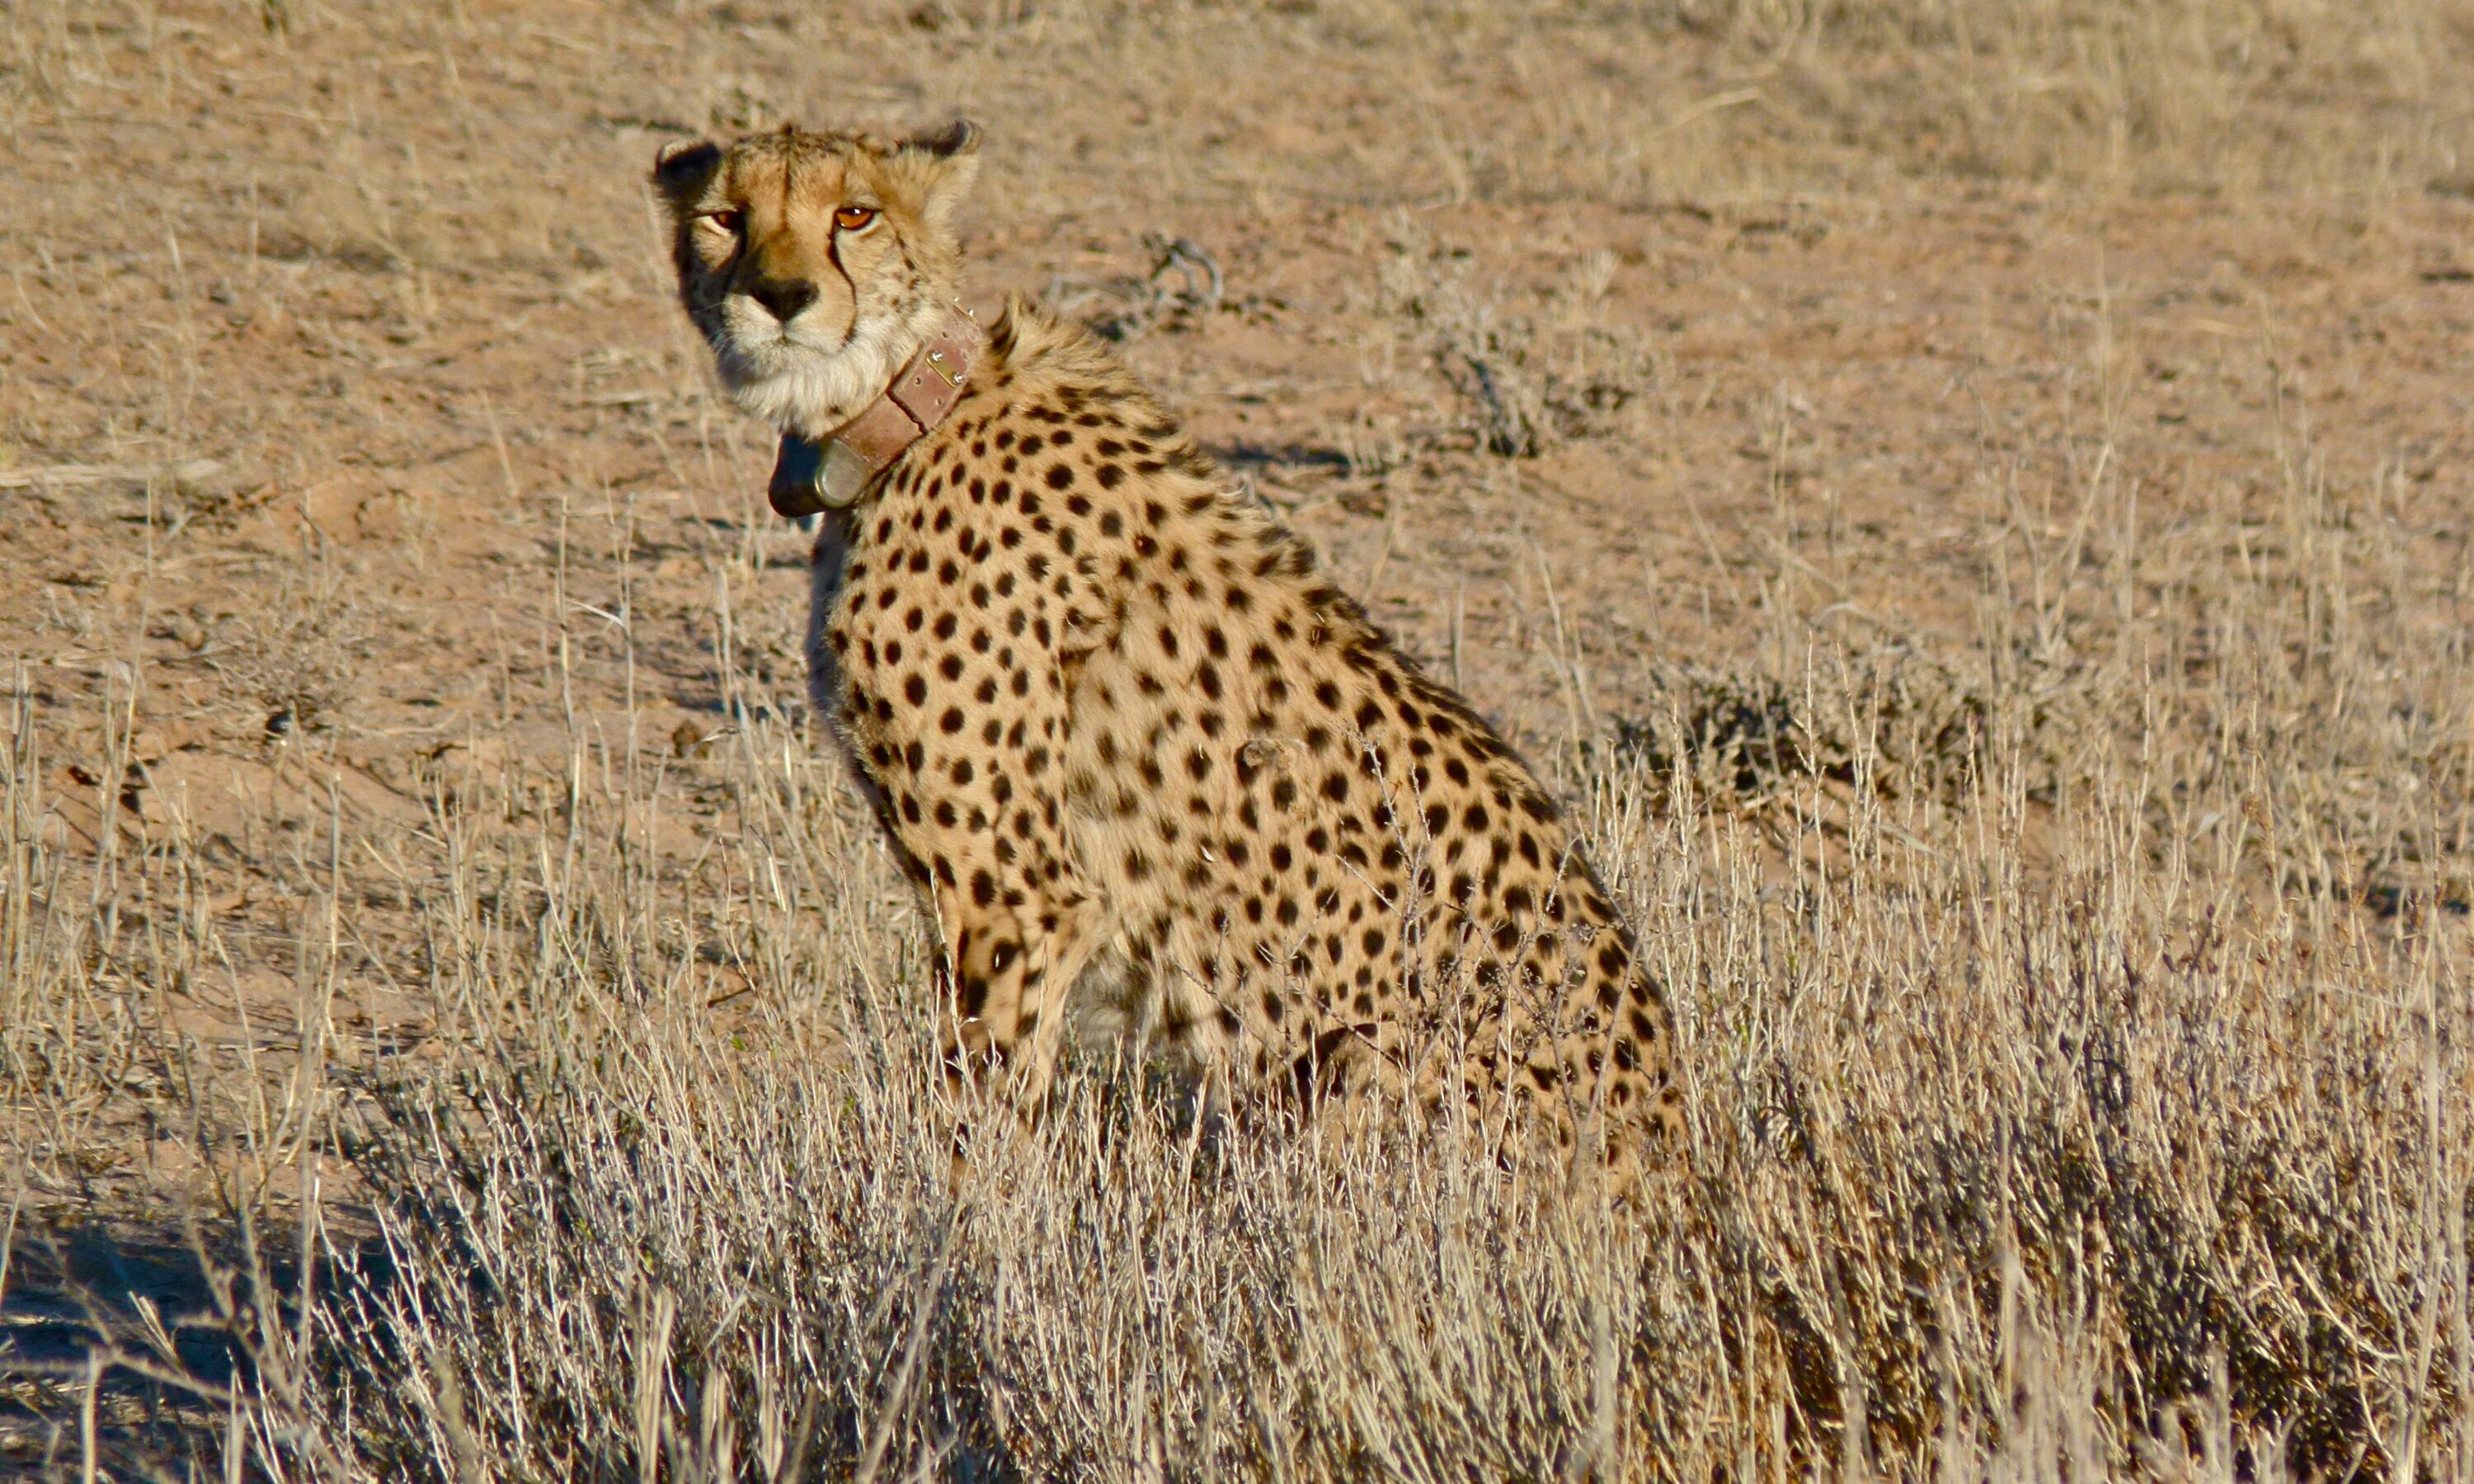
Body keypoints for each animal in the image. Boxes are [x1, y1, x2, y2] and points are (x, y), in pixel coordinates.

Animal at [652, 121, 1685, 1187]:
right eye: (724, 218)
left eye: (854, 214)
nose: (779, 296)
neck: (899, 402)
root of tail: (1690, 1168)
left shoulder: (1018, 896)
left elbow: (978, 1110)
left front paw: (949, 1219)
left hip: (1353, 1064)